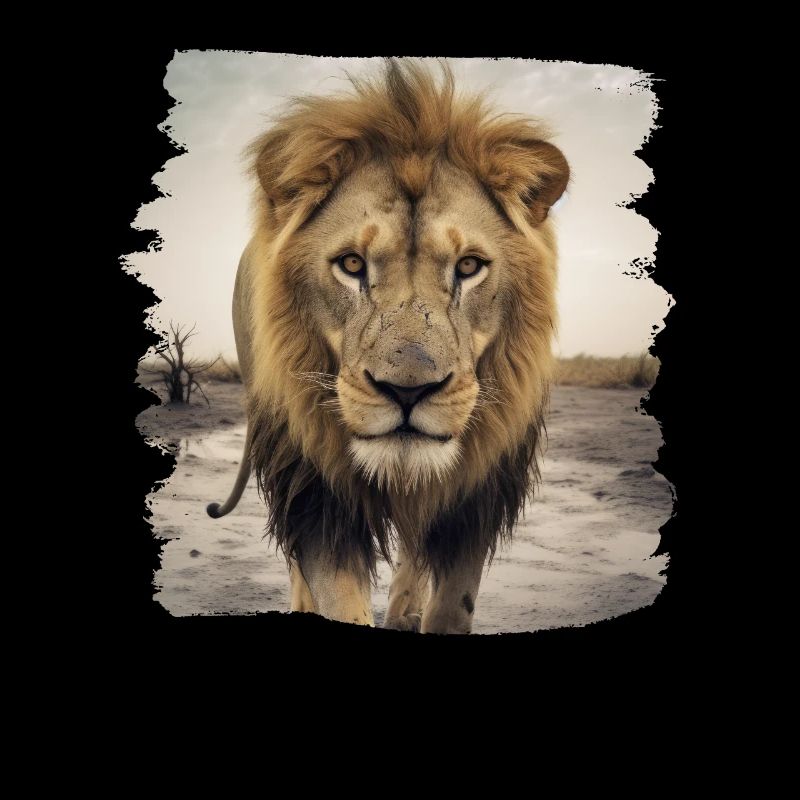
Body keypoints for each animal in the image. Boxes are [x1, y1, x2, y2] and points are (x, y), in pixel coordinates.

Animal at [206, 59, 569, 634]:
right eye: (352, 264)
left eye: (469, 265)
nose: (408, 392)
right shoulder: (313, 488)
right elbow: (333, 587)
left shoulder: (476, 495)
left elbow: (453, 600)